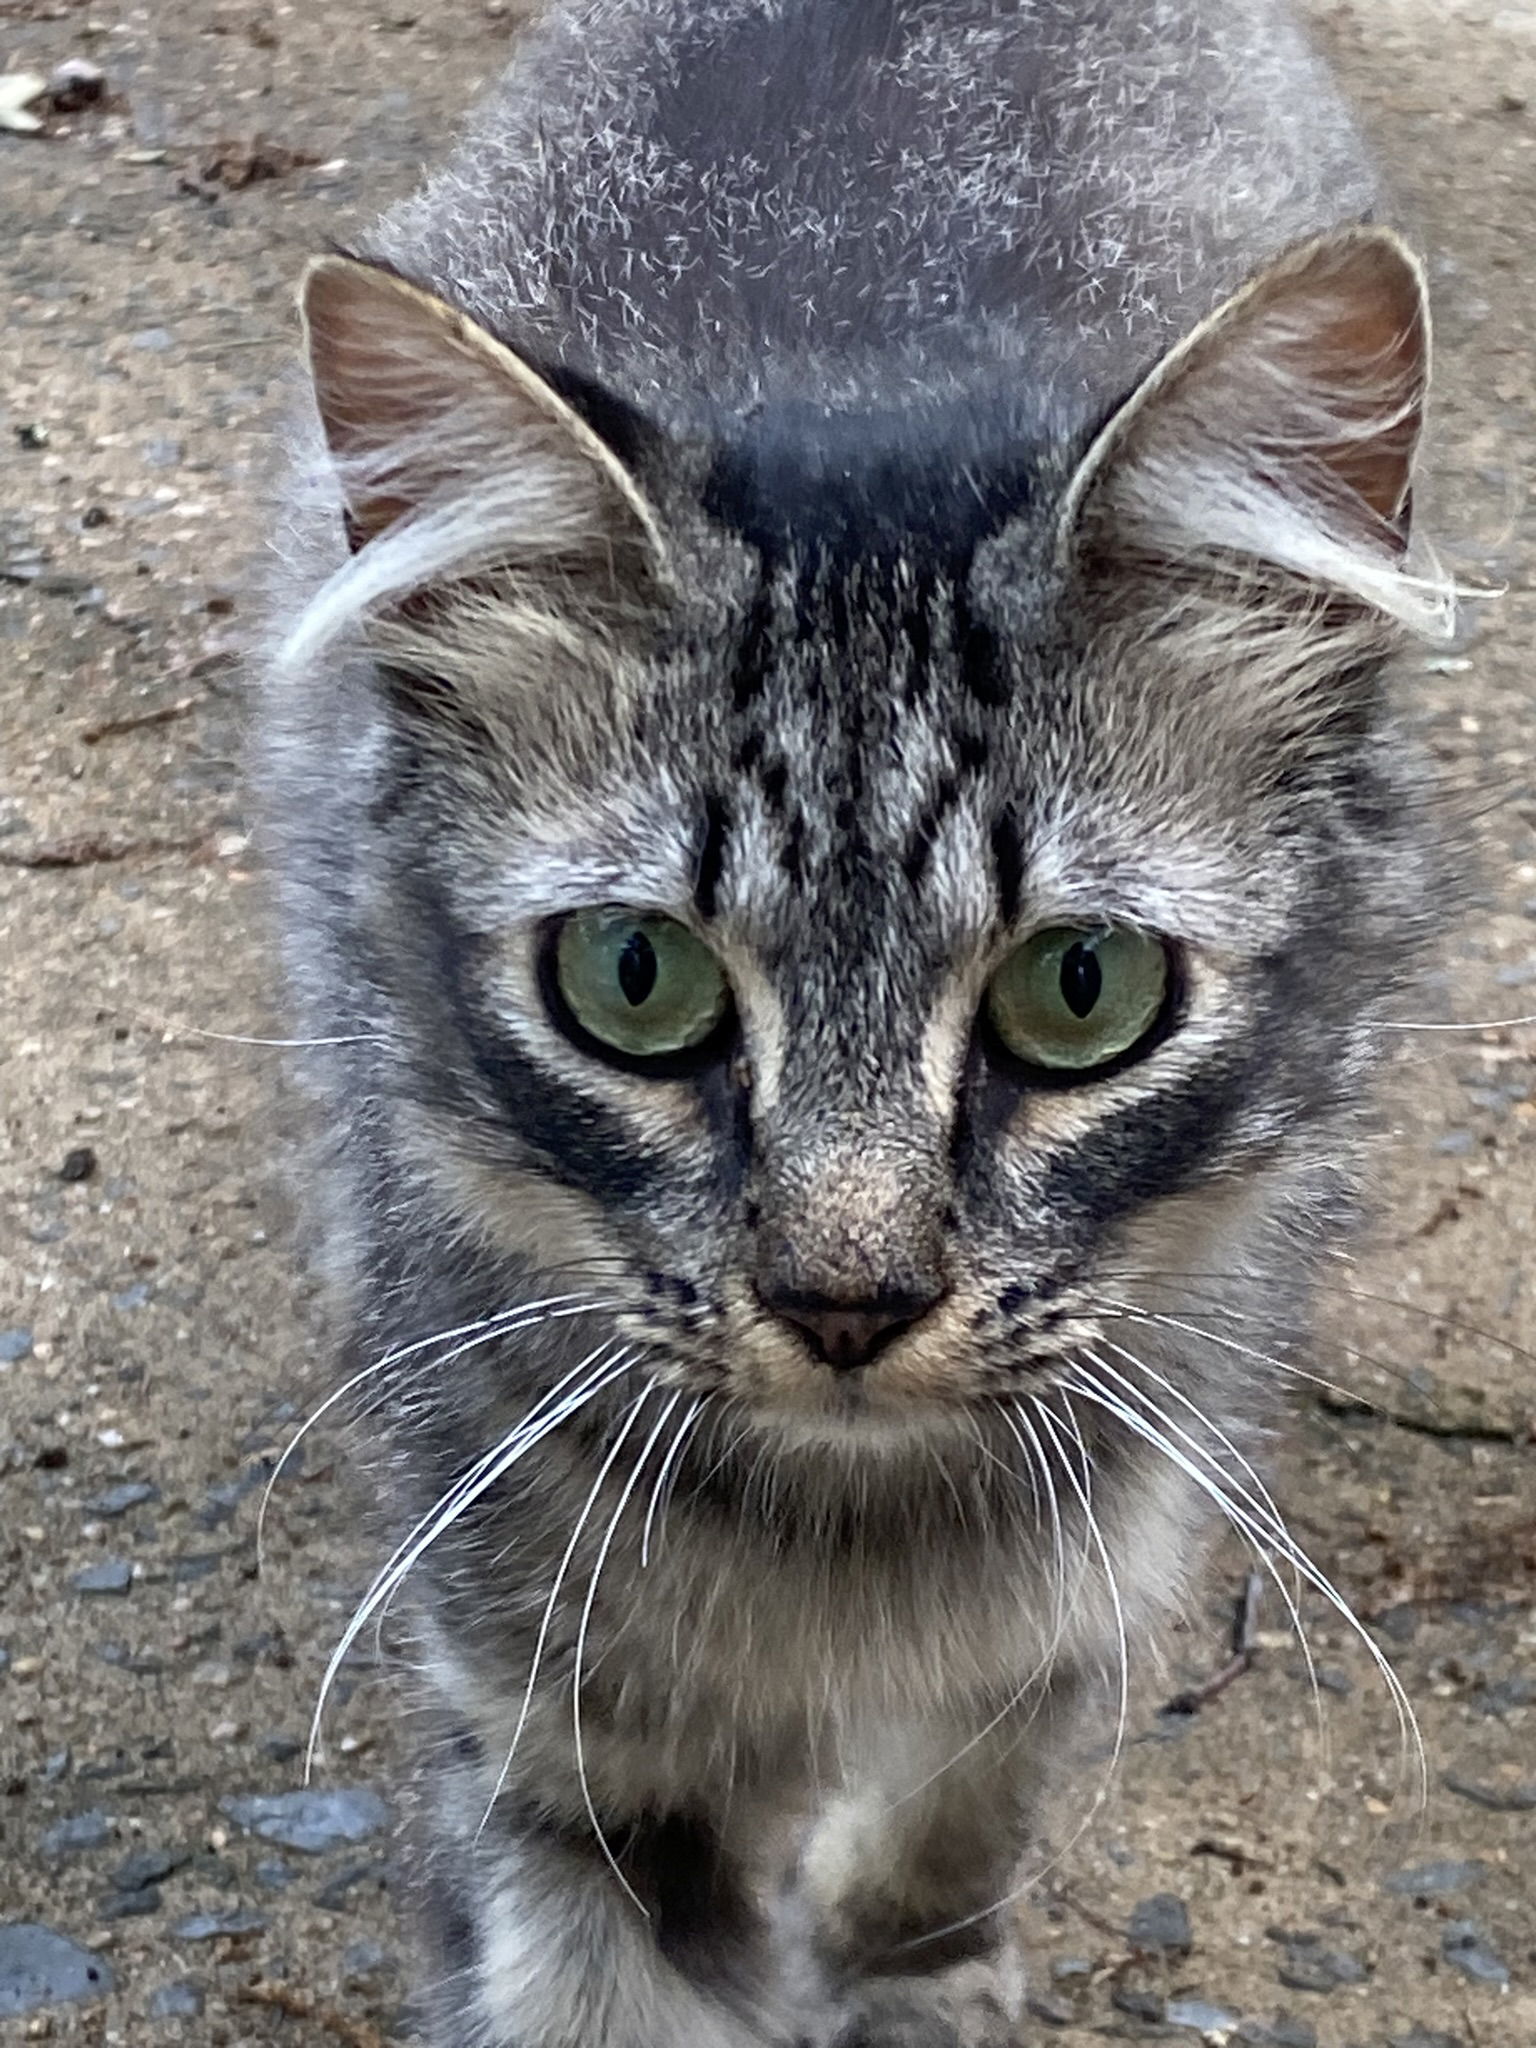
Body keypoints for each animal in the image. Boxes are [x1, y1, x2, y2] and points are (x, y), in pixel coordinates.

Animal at [259, 4, 1449, 2048]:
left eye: (1080, 990)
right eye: (634, 979)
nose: (843, 1303)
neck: (854, 1542)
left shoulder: (1100, 1545)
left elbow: (972, 1784)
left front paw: (915, 1966)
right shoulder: (556, 1721)